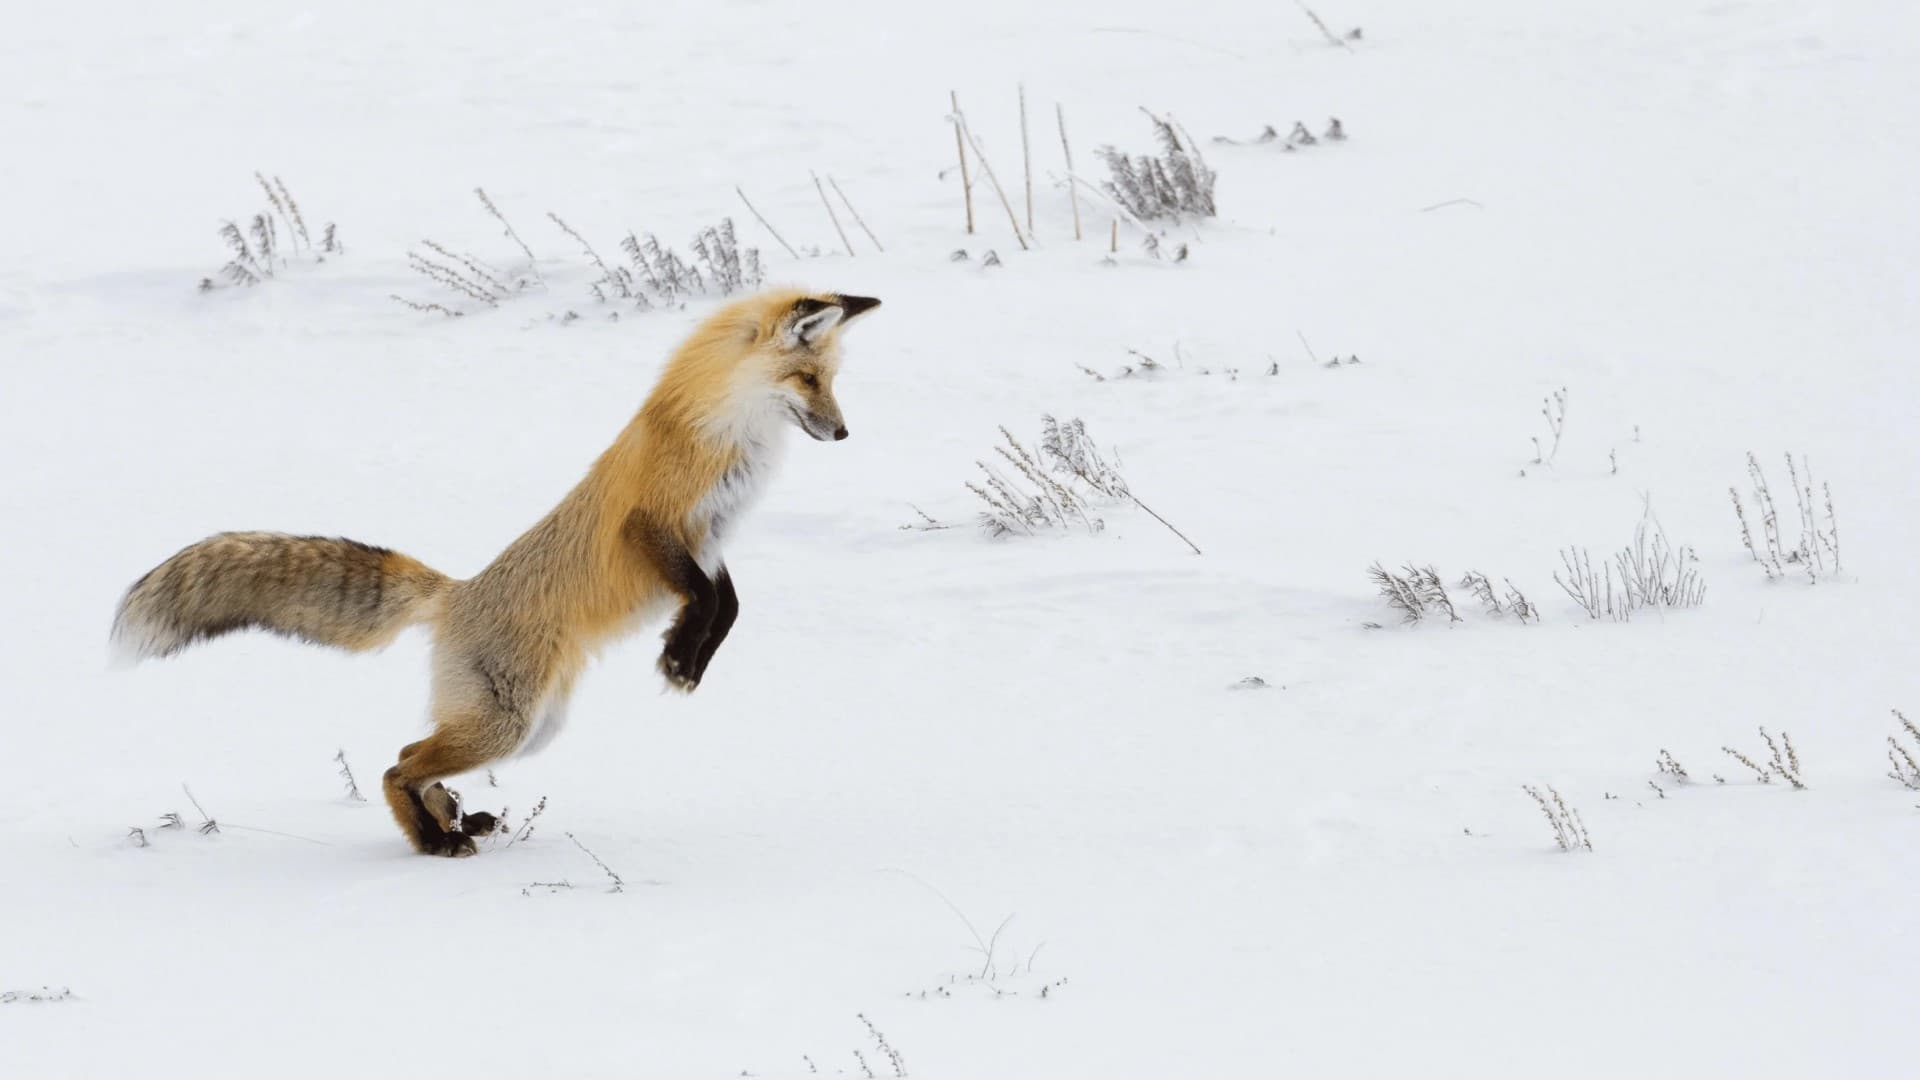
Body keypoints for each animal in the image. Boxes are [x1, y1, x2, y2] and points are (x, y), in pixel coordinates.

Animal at [112, 286, 879, 849]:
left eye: (832, 381)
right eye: (807, 378)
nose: (845, 433)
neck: (727, 435)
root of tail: (456, 593)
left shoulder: (711, 541)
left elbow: (727, 605)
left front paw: (687, 657)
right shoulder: (654, 525)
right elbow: (705, 599)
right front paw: (679, 658)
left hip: (531, 728)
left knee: (409, 751)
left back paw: (453, 818)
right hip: (507, 724)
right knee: (395, 764)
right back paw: (435, 840)